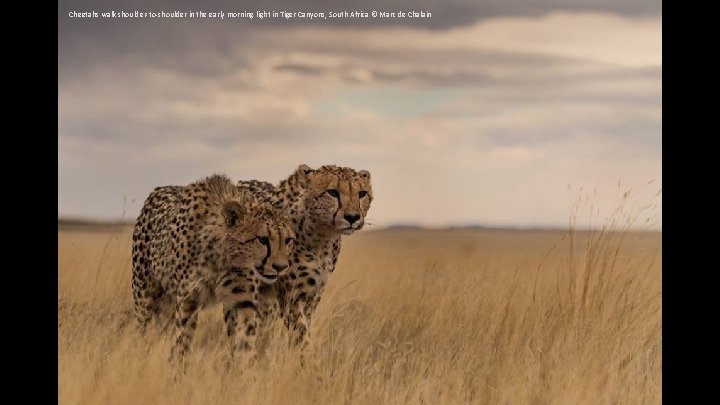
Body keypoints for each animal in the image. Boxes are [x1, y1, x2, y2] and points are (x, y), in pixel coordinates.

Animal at [131, 174, 294, 366]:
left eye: (288, 240)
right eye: (262, 239)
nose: (281, 267)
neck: (222, 254)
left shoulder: (241, 299)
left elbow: (245, 338)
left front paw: (246, 369)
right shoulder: (188, 298)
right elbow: (183, 338)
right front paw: (178, 367)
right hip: (145, 298)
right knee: (145, 328)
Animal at [239, 164, 374, 350]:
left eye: (362, 194)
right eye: (332, 192)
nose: (353, 217)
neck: (322, 237)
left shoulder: (313, 294)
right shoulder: (293, 297)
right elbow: (301, 335)